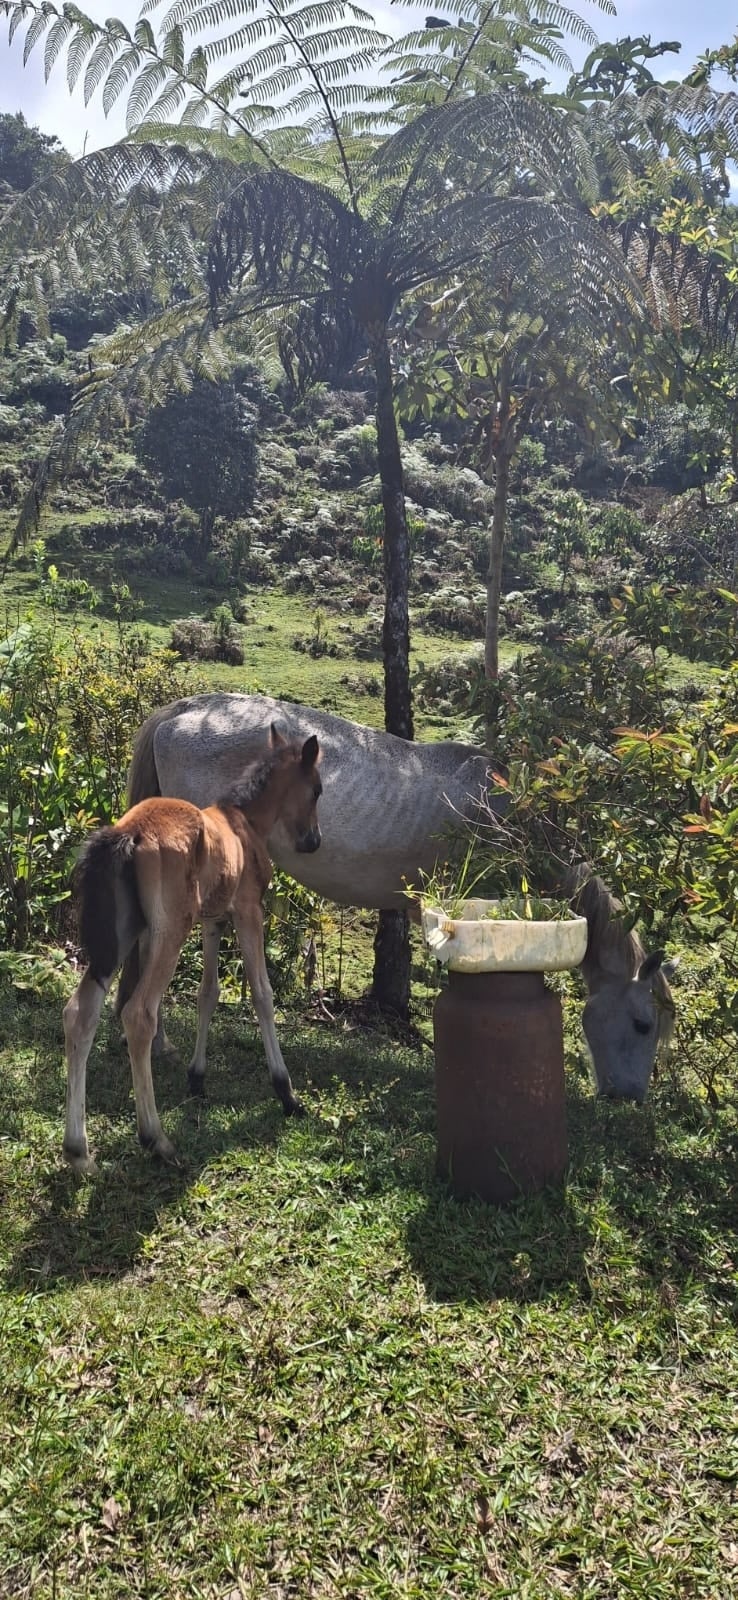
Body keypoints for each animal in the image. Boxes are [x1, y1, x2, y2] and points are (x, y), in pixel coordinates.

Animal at [62, 726, 322, 1172]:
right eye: (318, 789)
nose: (314, 841)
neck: (244, 822)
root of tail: (125, 834)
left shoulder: (213, 920)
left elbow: (208, 993)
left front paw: (197, 1078)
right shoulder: (248, 911)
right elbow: (262, 994)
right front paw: (286, 1092)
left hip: (121, 935)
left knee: (81, 1013)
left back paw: (78, 1151)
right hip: (169, 930)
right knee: (138, 1014)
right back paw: (156, 1138)